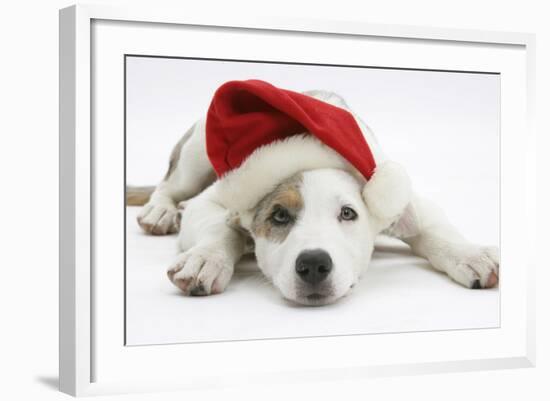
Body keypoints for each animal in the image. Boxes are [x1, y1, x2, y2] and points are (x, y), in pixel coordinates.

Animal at [128, 84, 500, 304]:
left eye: (348, 213)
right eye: (279, 215)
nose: (314, 263)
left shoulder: (401, 196)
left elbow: (435, 229)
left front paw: (470, 254)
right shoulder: (210, 202)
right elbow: (221, 227)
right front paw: (207, 258)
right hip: (195, 153)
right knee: (168, 185)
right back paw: (160, 211)